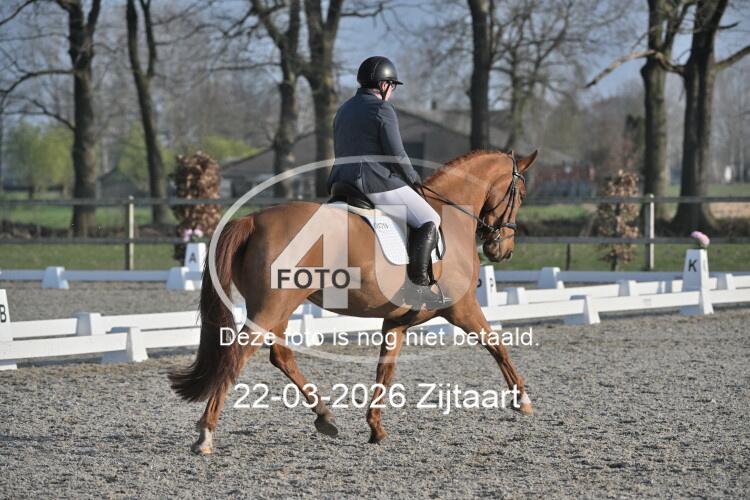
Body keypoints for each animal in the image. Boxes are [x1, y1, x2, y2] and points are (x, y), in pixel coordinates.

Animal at [169, 149, 538, 454]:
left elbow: (384, 370)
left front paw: (376, 428)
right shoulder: (462, 308)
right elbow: (497, 345)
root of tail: (253, 220)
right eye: (520, 195)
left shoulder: (397, 321)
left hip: (279, 308)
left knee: (281, 355)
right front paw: (522, 400)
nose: (502, 250)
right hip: (272, 306)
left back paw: (325, 417)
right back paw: (206, 434)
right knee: (240, 353)